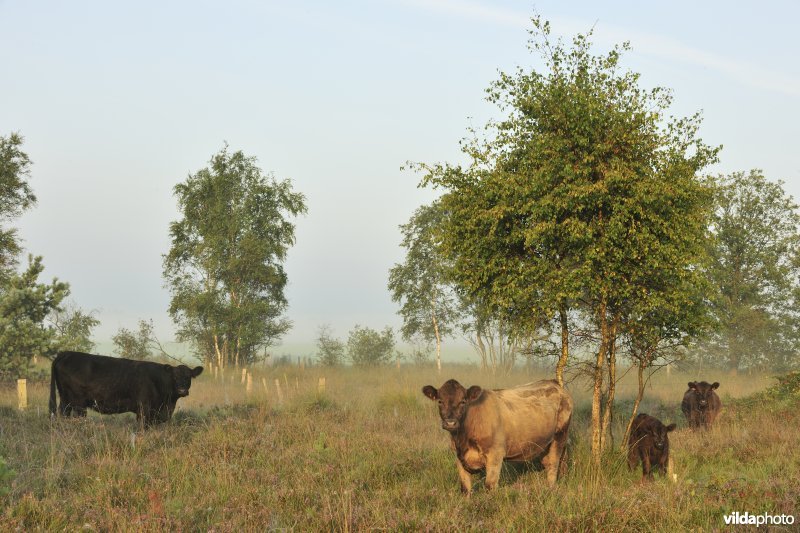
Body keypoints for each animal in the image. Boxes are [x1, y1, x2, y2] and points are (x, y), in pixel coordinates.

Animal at [48, 352, 203, 426]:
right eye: (174, 377)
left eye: (188, 377)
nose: (182, 390)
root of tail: (65, 353)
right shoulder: (144, 408)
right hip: (78, 403)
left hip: (66, 400)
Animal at [422, 376, 572, 492]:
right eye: (440, 401)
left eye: (463, 401)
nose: (450, 423)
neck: (463, 439)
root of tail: (553, 383)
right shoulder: (459, 458)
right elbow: (465, 488)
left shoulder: (495, 454)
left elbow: (490, 486)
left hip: (560, 435)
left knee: (553, 464)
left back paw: (550, 489)